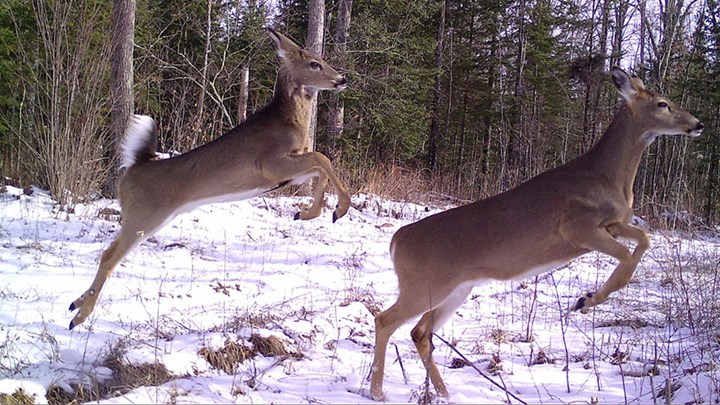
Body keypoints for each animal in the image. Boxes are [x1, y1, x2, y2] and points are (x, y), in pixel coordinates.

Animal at [68, 29, 352, 332]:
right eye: (314, 63)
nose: (341, 79)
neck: (290, 121)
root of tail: (135, 166)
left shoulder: (289, 173)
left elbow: (320, 167)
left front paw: (309, 213)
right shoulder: (271, 163)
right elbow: (323, 158)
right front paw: (340, 209)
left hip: (149, 217)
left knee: (108, 251)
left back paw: (75, 304)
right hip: (144, 215)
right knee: (109, 256)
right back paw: (79, 317)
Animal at [368, 68, 704, 400]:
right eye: (662, 103)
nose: (697, 124)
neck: (610, 179)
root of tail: (396, 241)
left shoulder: (615, 224)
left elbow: (644, 240)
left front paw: (587, 299)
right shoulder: (576, 227)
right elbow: (626, 258)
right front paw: (585, 300)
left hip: (456, 290)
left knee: (420, 332)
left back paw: (444, 393)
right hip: (423, 284)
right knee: (385, 320)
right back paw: (378, 391)